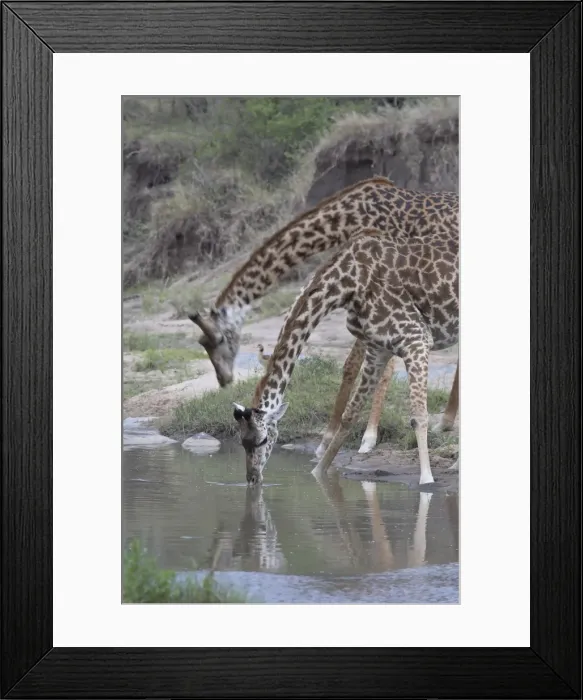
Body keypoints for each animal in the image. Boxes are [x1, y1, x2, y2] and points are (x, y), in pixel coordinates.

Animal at [190, 176, 459, 456]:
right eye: (203, 344)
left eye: (216, 342)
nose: (223, 379)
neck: (348, 217)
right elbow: (351, 366)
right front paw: (327, 440)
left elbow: (376, 368)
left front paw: (368, 437)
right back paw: (446, 421)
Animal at [232, 228, 458, 486]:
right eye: (242, 441)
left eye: (262, 440)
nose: (252, 478)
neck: (347, 283)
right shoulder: (378, 349)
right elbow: (350, 415)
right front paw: (318, 473)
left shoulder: (416, 340)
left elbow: (418, 416)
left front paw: (427, 479)